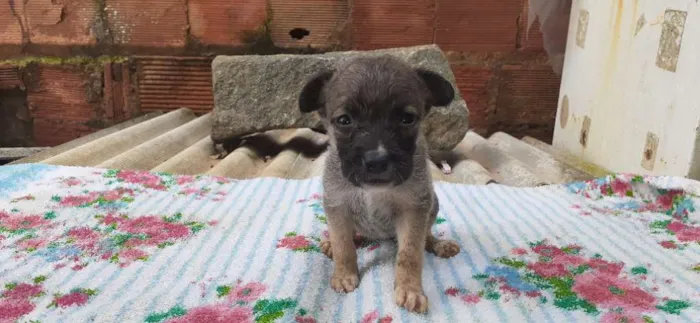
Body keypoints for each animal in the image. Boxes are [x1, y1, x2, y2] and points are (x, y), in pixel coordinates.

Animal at [298, 55, 462, 314]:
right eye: (344, 120)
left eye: (407, 119)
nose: (377, 161)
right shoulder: (337, 205)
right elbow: (343, 245)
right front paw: (344, 274)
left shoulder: (413, 209)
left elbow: (410, 254)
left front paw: (410, 290)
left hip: (433, 204)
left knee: (426, 236)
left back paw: (438, 244)